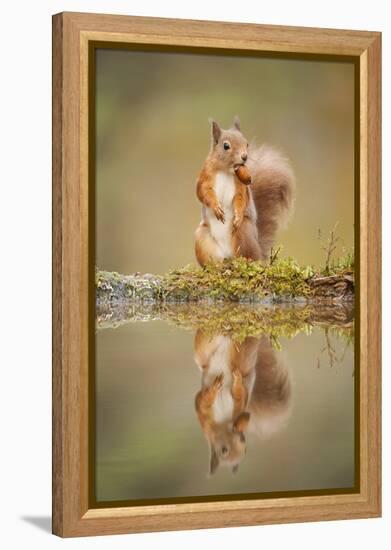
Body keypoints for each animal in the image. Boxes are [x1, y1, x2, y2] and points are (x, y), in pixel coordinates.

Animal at [194, 118, 296, 268]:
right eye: (226, 146)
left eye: (246, 143)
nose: (244, 157)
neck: (226, 170)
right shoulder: (204, 177)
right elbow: (202, 193)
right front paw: (216, 208)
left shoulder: (241, 187)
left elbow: (241, 199)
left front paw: (237, 215)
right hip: (202, 238)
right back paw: (217, 265)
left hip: (244, 232)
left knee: (247, 256)